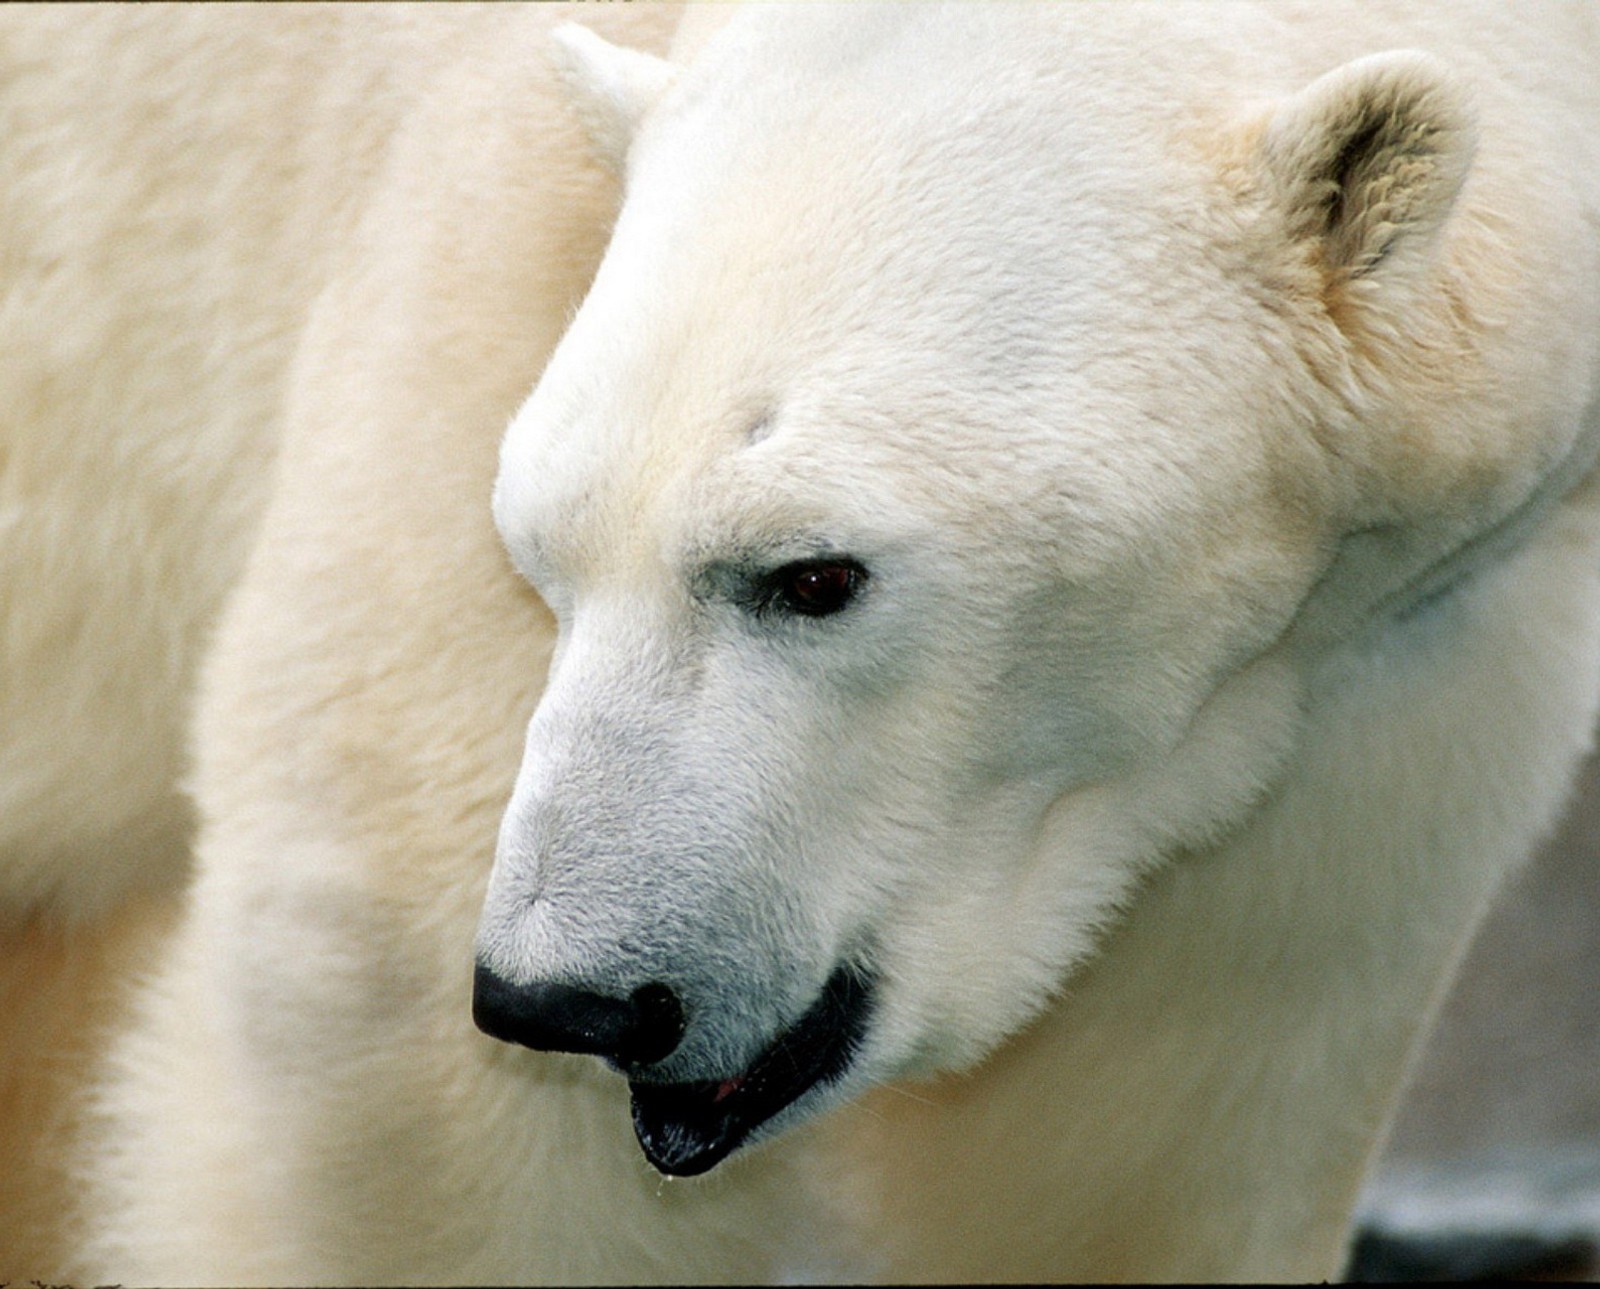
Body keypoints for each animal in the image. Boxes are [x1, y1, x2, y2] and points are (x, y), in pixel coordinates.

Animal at [0, 0, 1593, 1285]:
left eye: (813, 574)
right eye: (539, 552)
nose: (568, 1000)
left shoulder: (1394, 659)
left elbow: (1158, 1107)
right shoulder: (483, 242)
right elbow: (389, 1025)